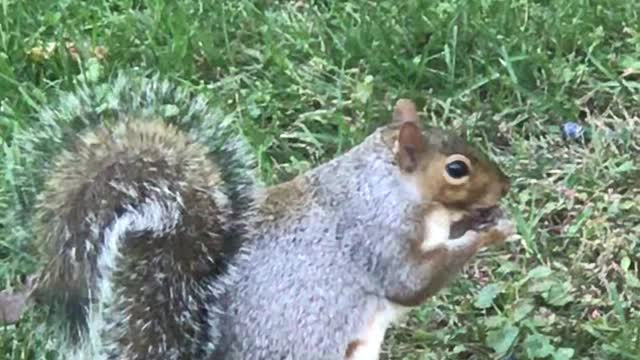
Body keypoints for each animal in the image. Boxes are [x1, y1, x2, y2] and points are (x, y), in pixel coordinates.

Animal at [16, 71, 516, 358]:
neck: (388, 185)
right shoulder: (374, 235)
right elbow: (410, 282)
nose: (505, 185)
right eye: (456, 169)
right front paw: (489, 233)